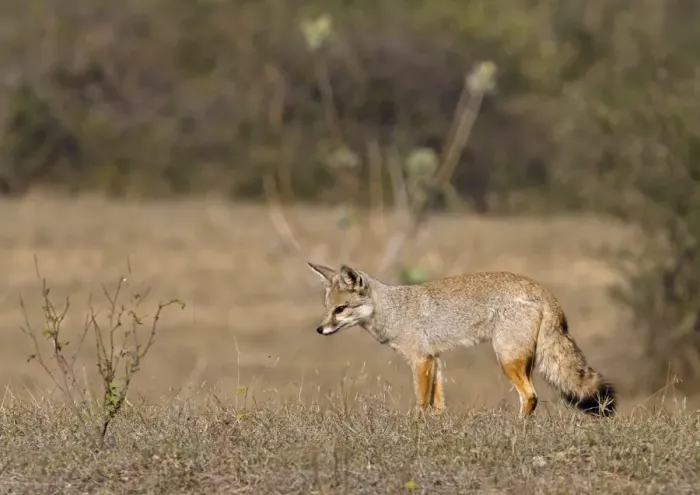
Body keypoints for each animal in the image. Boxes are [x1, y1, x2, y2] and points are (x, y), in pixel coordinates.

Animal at [307, 262, 616, 418]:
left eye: (340, 309)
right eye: (327, 308)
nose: (320, 330)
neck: (394, 310)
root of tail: (543, 291)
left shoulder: (421, 360)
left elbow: (421, 403)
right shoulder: (436, 360)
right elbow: (438, 406)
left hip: (507, 361)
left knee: (530, 396)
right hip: (524, 361)